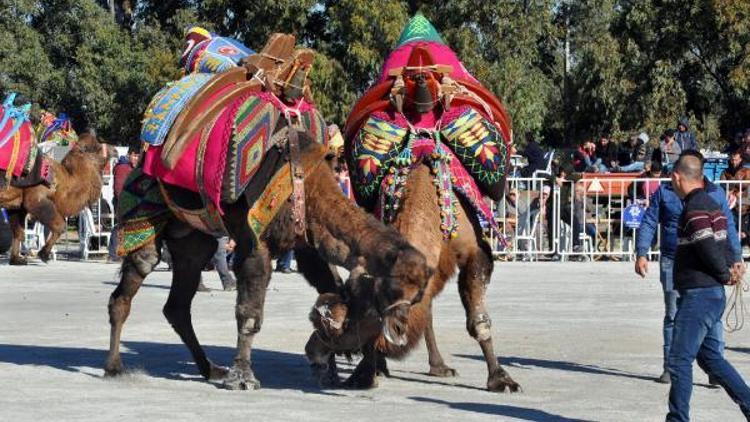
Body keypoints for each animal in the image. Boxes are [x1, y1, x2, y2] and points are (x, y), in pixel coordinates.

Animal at [0, 132, 116, 264]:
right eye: (96, 146)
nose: (115, 150)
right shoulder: (34, 199)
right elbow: (60, 226)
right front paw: (44, 254)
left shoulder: (17, 206)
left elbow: (18, 232)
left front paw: (17, 259)